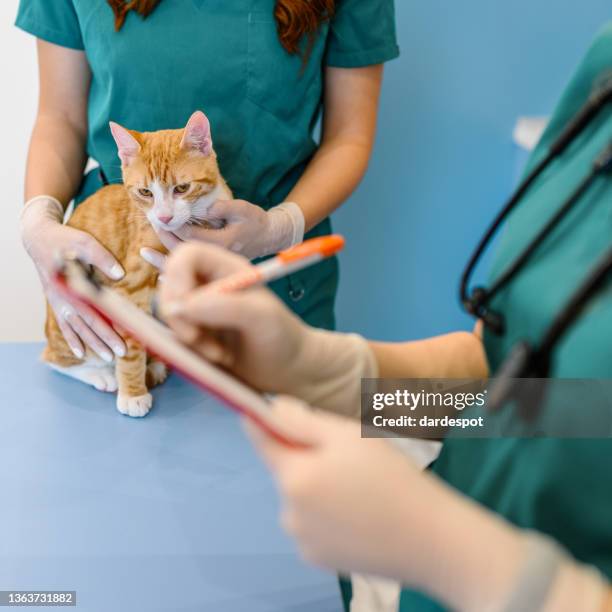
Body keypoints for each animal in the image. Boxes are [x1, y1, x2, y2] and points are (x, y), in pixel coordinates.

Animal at [41, 110, 231, 416]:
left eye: (182, 188)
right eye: (145, 192)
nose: (164, 218)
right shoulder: (129, 287)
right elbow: (130, 349)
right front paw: (133, 394)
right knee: (55, 359)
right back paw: (101, 374)